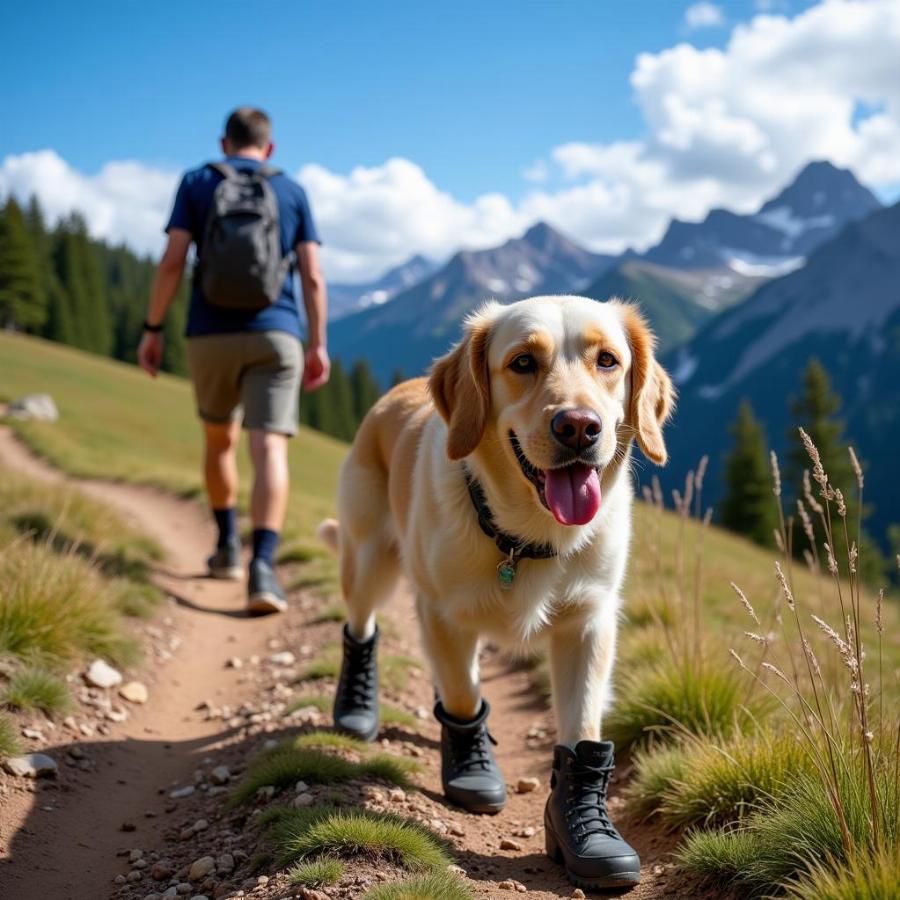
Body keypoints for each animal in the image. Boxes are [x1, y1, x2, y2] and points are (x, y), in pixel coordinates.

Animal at [326, 298, 672, 892]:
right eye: (522, 362)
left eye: (607, 360)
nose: (579, 427)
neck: (529, 538)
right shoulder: (443, 614)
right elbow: (465, 698)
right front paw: (470, 766)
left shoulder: (590, 622)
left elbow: (582, 725)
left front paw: (585, 836)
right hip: (369, 560)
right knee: (362, 627)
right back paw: (355, 708)